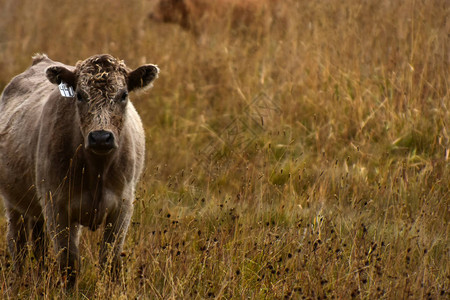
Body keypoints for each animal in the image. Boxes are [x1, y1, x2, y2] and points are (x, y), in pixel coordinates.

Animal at [0, 52, 159, 288]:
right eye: (80, 96)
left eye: (123, 95)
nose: (101, 137)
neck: (97, 170)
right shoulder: (56, 206)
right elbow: (69, 263)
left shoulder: (122, 205)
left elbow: (110, 260)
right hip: (14, 203)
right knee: (17, 243)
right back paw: (17, 283)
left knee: (38, 245)